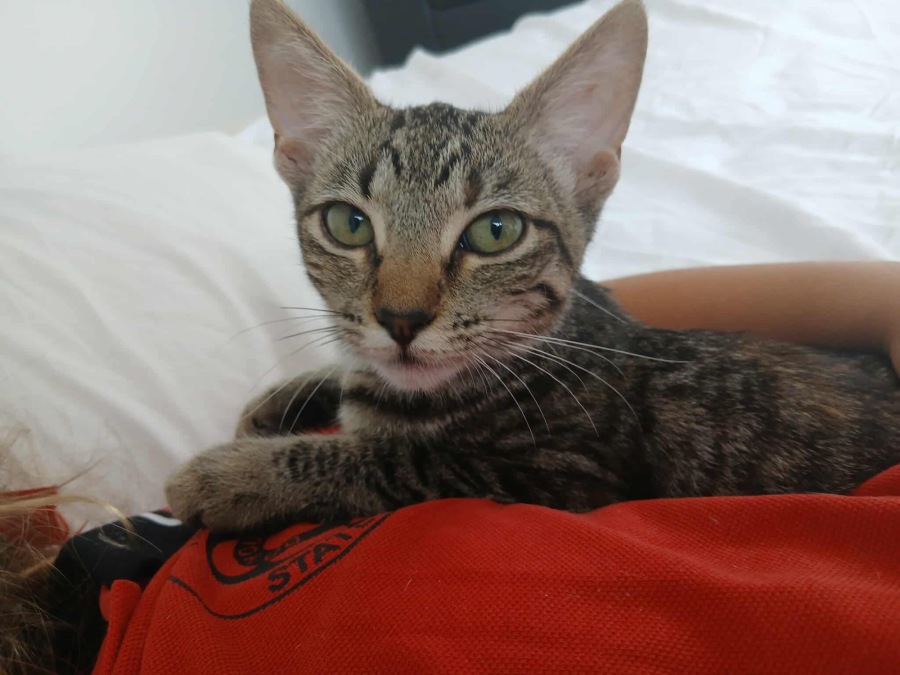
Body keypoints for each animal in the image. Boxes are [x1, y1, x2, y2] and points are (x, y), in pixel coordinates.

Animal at [165, 0, 900, 532]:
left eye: (495, 232)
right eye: (349, 224)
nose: (400, 317)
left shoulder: (565, 475)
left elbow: (400, 457)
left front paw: (231, 475)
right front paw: (292, 393)